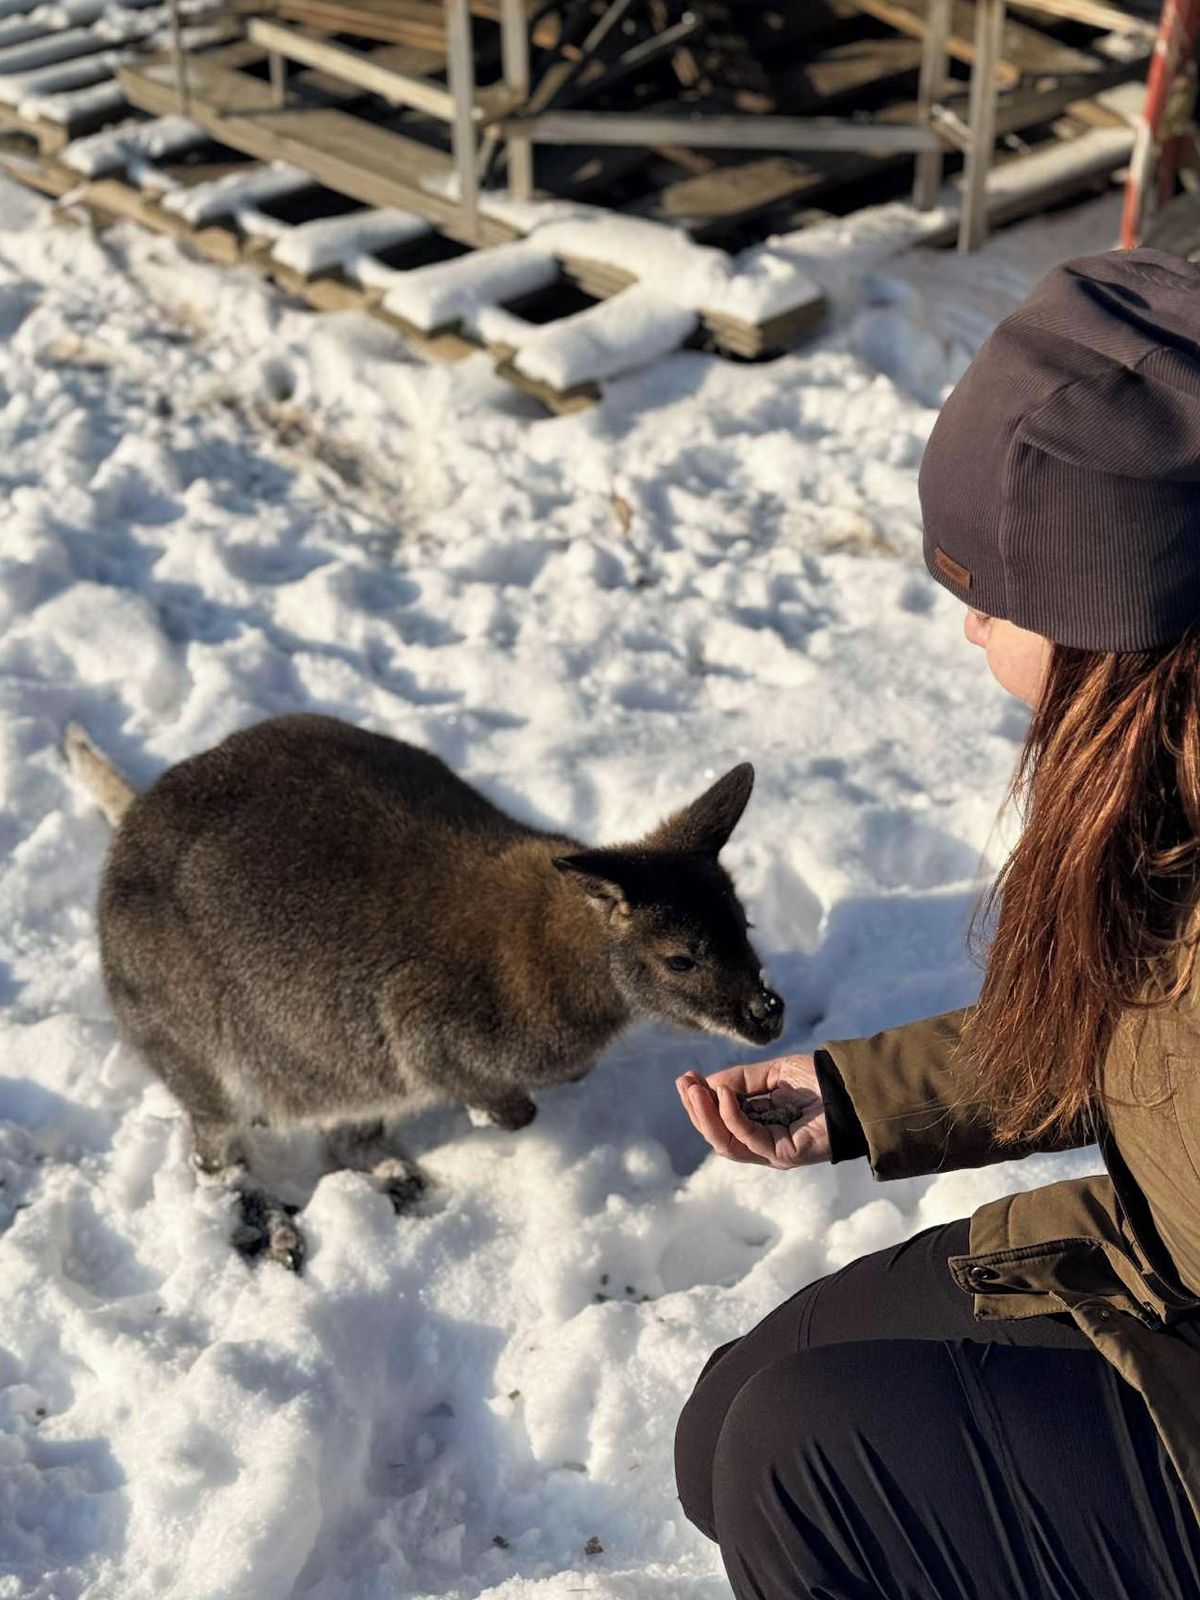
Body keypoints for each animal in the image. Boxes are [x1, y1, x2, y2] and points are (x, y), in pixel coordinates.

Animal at [67, 714, 784, 1270]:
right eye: (681, 960)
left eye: (746, 927)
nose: (769, 1017)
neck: (564, 949)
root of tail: (137, 816)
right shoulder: (422, 1025)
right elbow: (511, 1106)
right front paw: (497, 1116)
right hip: (198, 1039)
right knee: (216, 1158)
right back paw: (277, 1232)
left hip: (342, 1065)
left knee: (343, 1136)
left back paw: (395, 1179)